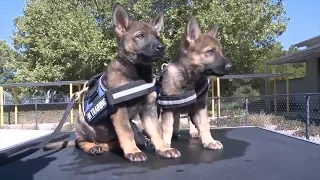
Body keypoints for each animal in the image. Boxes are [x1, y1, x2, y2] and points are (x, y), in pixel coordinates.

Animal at [43, 2, 181, 162]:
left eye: (157, 36)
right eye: (140, 36)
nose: (161, 48)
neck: (137, 73)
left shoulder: (149, 109)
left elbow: (156, 131)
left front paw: (164, 148)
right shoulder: (120, 111)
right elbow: (126, 132)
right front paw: (133, 151)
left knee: (116, 141)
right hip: (81, 121)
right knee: (81, 141)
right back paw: (92, 147)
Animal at [160, 16, 232, 149]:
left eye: (221, 51)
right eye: (211, 51)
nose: (230, 67)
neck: (189, 79)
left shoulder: (200, 106)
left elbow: (204, 125)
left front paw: (209, 141)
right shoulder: (168, 108)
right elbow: (166, 127)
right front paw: (165, 145)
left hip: (192, 111)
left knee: (190, 121)